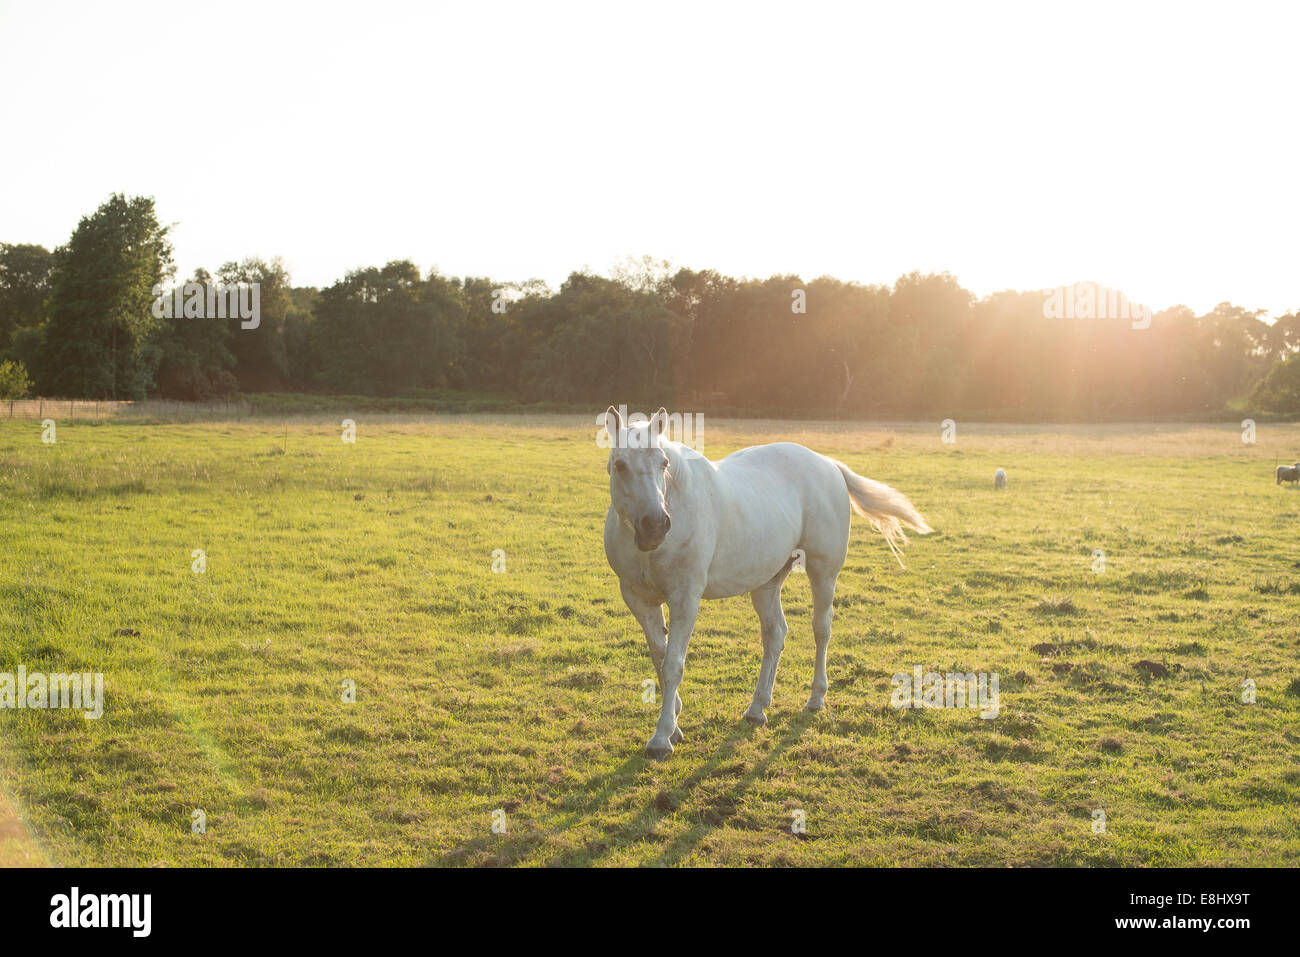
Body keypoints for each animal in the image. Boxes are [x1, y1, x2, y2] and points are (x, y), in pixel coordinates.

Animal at [603, 408, 930, 759]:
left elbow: (673, 665)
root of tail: (828, 464)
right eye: (620, 465)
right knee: (776, 634)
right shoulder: (639, 600)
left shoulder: (685, 598)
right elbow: (659, 658)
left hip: (823, 572)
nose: (655, 525)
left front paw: (662, 737)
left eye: (663, 463)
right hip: (767, 583)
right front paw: (674, 721)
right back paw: (757, 708)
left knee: (821, 629)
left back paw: (816, 698)